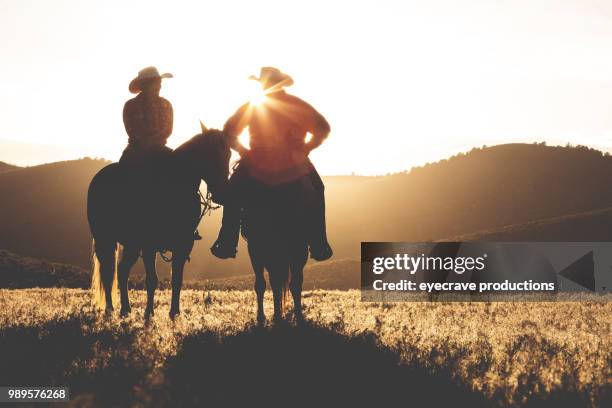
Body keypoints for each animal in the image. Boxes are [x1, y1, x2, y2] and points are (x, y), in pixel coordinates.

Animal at [86, 124, 230, 318]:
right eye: (211, 153)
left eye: (228, 154)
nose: (223, 193)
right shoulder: (149, 246)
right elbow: (151, 280)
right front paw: (149, 313)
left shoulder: (183, 245)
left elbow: (177, 279)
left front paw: (174, 313)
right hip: (105, 239)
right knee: (108, 273)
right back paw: (110, 309)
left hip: (132, 245)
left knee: (122, 271)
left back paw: (125, 309)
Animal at [241, 172, 316, 322]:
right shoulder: (256, 250)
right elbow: (263, 284)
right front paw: (262, 316)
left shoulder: (297, 250)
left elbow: (294, 284)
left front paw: (297, 316)